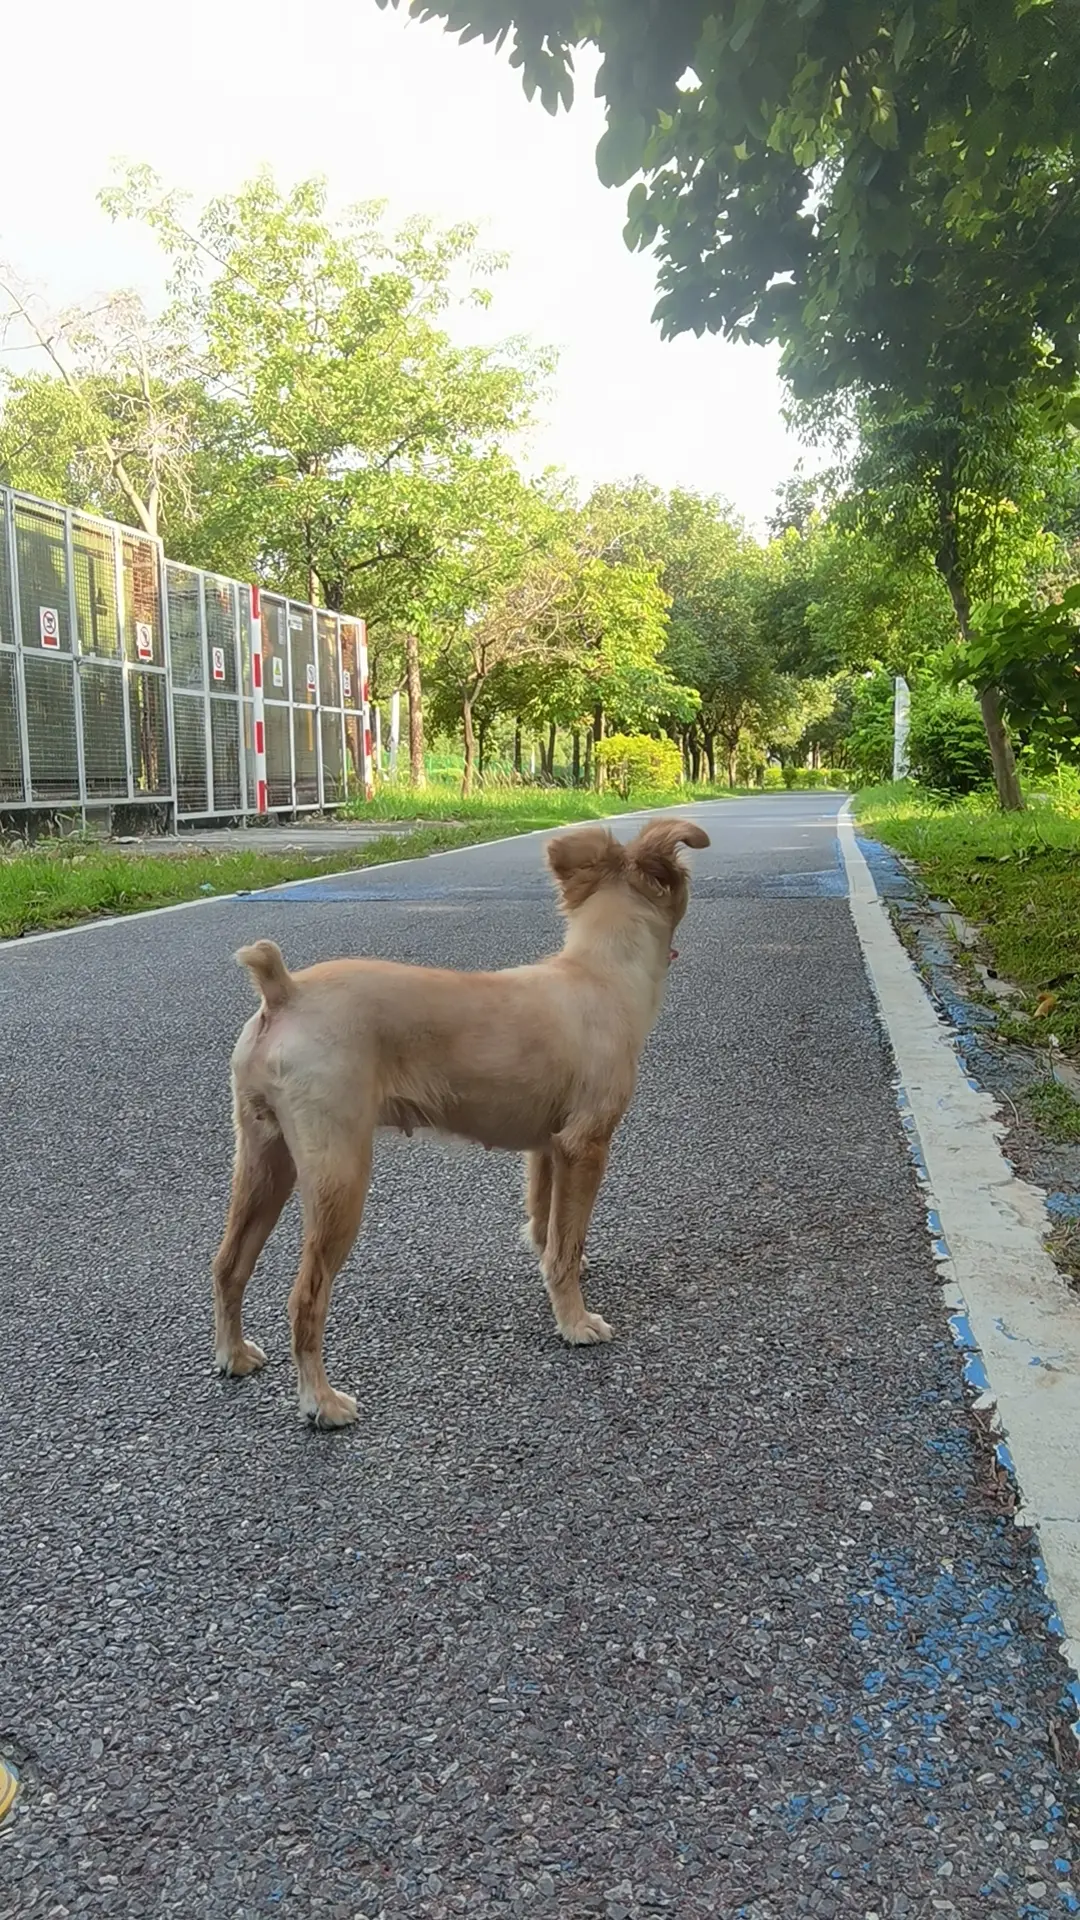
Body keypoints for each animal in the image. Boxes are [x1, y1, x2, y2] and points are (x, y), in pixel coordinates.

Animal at [212, 816, 710, 1427]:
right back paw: (321, 1401)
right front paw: (575, 1322)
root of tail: (286, 991)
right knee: (305, 1298)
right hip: (338, 1176)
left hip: (265, 1159)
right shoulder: (585, 1145)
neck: (597, 971)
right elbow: (565, 1243)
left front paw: (558, 1275)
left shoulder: (548, 1149)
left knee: (228, 1265)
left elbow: (549, 1229)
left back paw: (233, 1354)